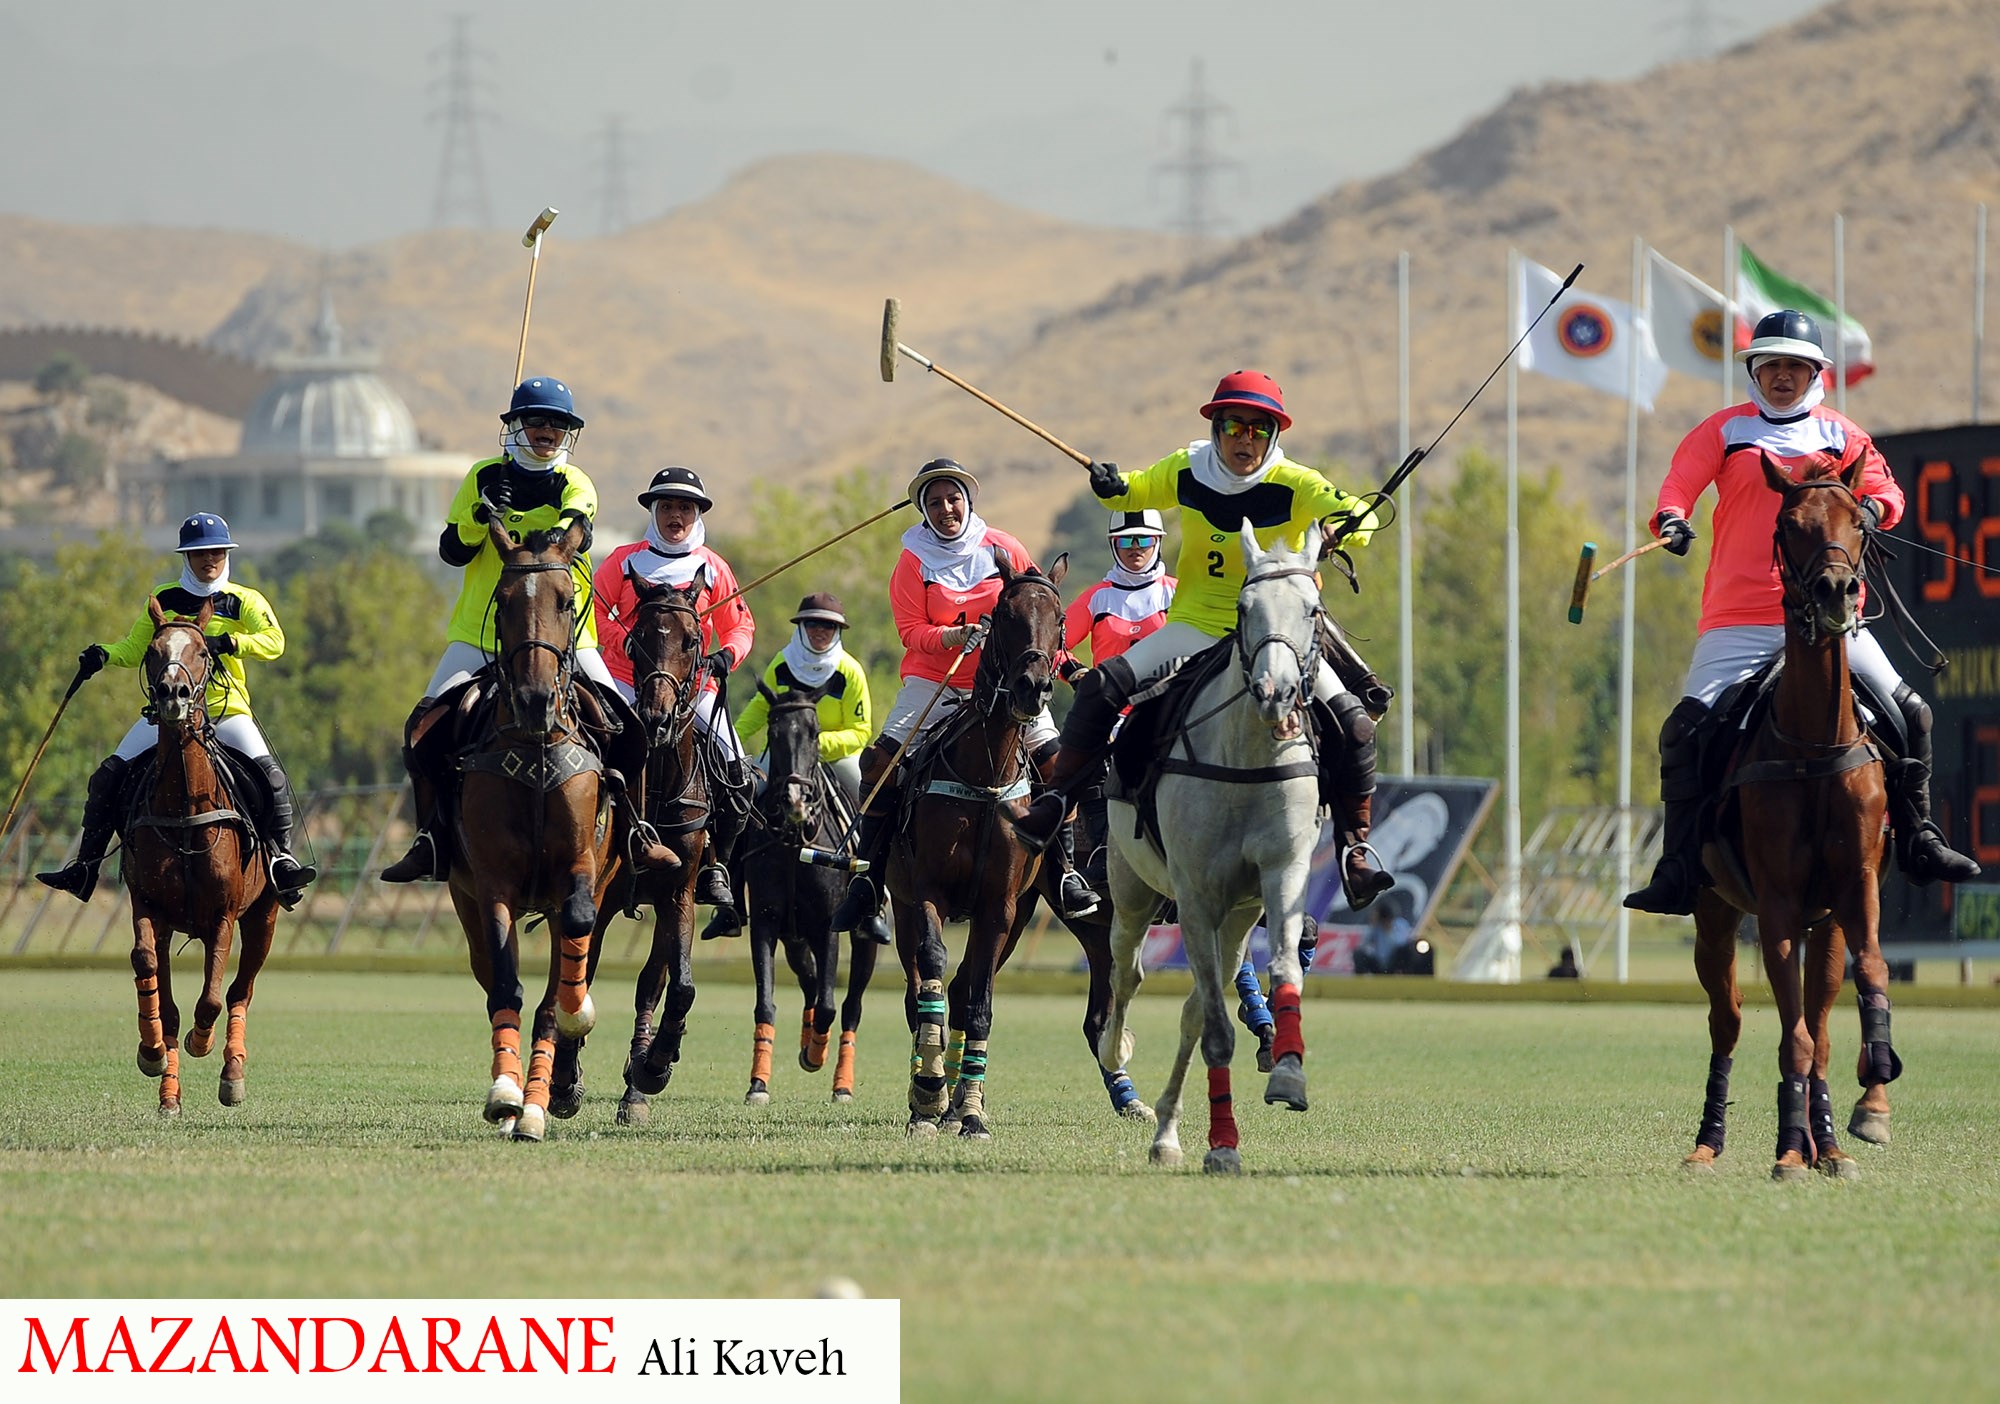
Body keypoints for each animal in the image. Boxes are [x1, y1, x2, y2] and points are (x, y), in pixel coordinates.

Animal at [125, 600, 280, 1120]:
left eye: (201, 652)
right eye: (153, 651)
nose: (173, 695)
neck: (184, 807)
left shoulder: (223, 916)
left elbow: (211, 998)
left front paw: (202, 1041)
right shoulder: (148, 906)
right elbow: (148, 967)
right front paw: (153, 1054)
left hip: (264, 916)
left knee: (240, 991)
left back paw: (232, 1073)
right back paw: (169, 1091)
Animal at [454, 516, 616, 1144]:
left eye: (568, 600)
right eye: (502, 602)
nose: (534, 700)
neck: (535, 749)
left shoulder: (580, 871)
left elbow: (570, 949)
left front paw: (576, 1015)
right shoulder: (492, 884)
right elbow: (506, 986)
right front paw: (505, 1094)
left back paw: (540, 1102)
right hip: (466, 899)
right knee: (491, 976)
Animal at [744, 688, 884, 1104]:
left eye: (815, 732)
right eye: (773, 731)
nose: (795, 801)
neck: (795, 842)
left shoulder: (827, 928)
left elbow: (829, 1006)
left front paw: (816, 1055)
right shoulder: (765, 924)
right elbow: (766, 1003)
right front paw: (758, 1084)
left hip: (863, 938)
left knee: (850, 1006)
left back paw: (841, 1083)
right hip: (794, 939)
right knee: (808, 984)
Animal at [1096, 524, 1328, 1168]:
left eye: (1313, 609)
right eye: (1244, 610)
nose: (1276, 693)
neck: (1247, 755)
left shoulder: (1282, 874)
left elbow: (1281, 971)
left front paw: (1289, 1072)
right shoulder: (1196, 897)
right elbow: (1218, 1033)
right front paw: (1222, 1147)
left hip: (1238, 916)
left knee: (1194, 1009)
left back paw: (1168, 1131)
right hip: (1132, 893)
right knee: (1127, 975)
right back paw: (1118, 1059)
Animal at [1680, 456, 1896, 1184]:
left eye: (1859, 520)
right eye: (1791, 525)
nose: (1835, 591)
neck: (1814, 745)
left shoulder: (1853, 892)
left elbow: (1871, 975)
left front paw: (1869, 1099)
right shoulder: (1774, 903)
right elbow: (1790, 1039)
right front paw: (1788, 1154)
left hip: (1819, 926)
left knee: (1816, 1024)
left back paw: (1822, 1142)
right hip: (1715, 917)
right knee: (1729, 1023)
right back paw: (1714, 1143)